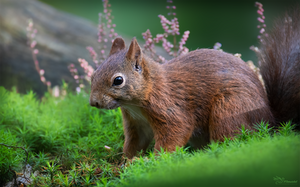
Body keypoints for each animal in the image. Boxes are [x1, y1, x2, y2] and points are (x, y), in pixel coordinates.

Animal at [89, 8, 300, 158]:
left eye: (118, 80)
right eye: (93, 74)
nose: (93, 102)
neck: (136, 104)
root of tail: (270, 119)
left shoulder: (170, 109)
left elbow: (175, 134)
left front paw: (155, 160)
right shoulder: (136, 124)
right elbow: (134, 144)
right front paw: (126, 161)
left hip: (229, 109)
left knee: (230, 140)